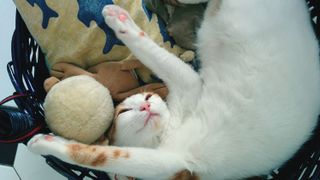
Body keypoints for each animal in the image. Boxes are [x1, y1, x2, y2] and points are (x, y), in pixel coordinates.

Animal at [27, 0, 320, 179]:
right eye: (124, 112)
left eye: (148, 96)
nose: (146, 105)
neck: (167, 130)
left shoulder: (169, 158)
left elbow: (96, 156)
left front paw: (46, 144)